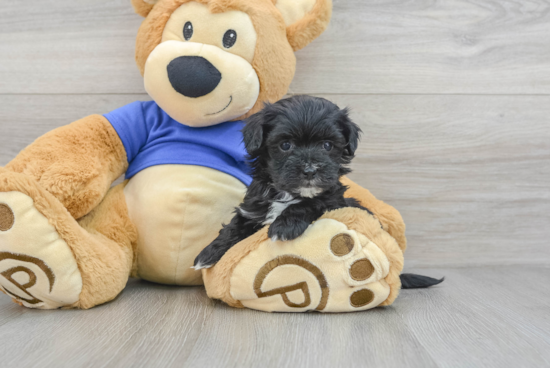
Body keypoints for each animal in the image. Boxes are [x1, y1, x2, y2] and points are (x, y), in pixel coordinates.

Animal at [194, 95, 370, 268]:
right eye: (285, 145)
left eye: (327, 145)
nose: (310, 170)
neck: (287, 193)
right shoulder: (252, 210)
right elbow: (235, 224)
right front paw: (209, 252)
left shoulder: (334, 201)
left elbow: (311, 203)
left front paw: (284, 226)